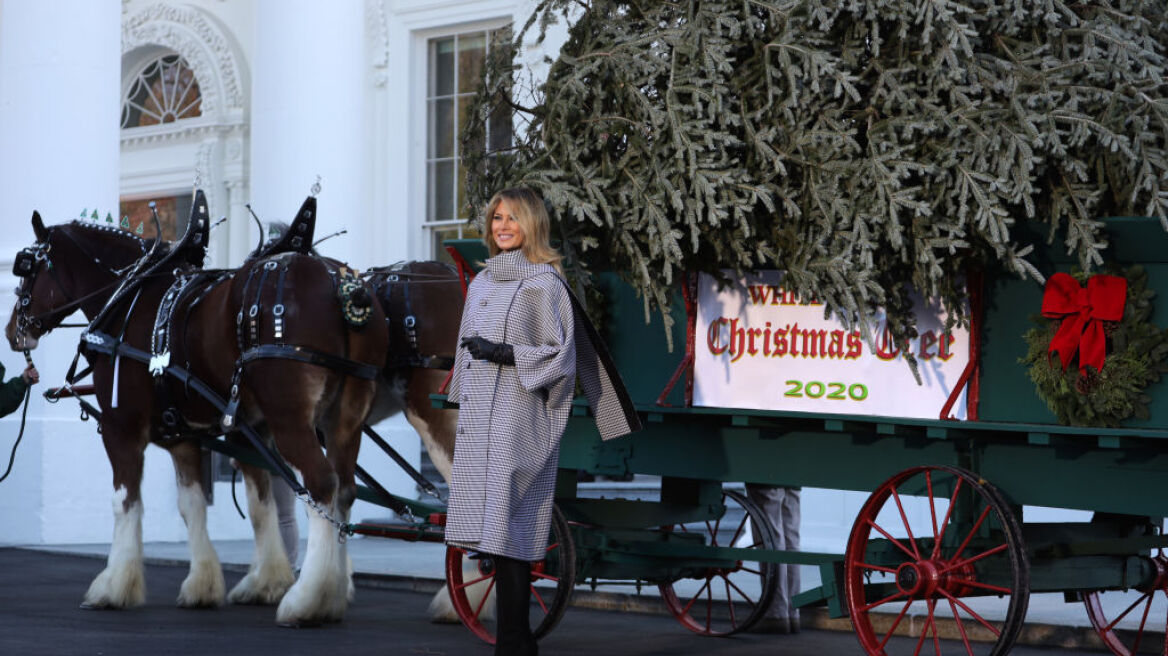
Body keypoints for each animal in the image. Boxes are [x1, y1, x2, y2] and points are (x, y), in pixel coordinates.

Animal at [6, 198, 385, 620]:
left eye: (26, 266)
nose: (13, 330)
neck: (131, 297)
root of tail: (342, 284)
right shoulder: (189, 435)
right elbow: (211, 505)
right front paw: (221, 583)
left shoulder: (122, 427)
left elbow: (124, 502)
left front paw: (113, 585)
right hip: (344, 419)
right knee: (345, 491)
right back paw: (332, 591)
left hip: (290, 419)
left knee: (321, 485)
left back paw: (308, 600)